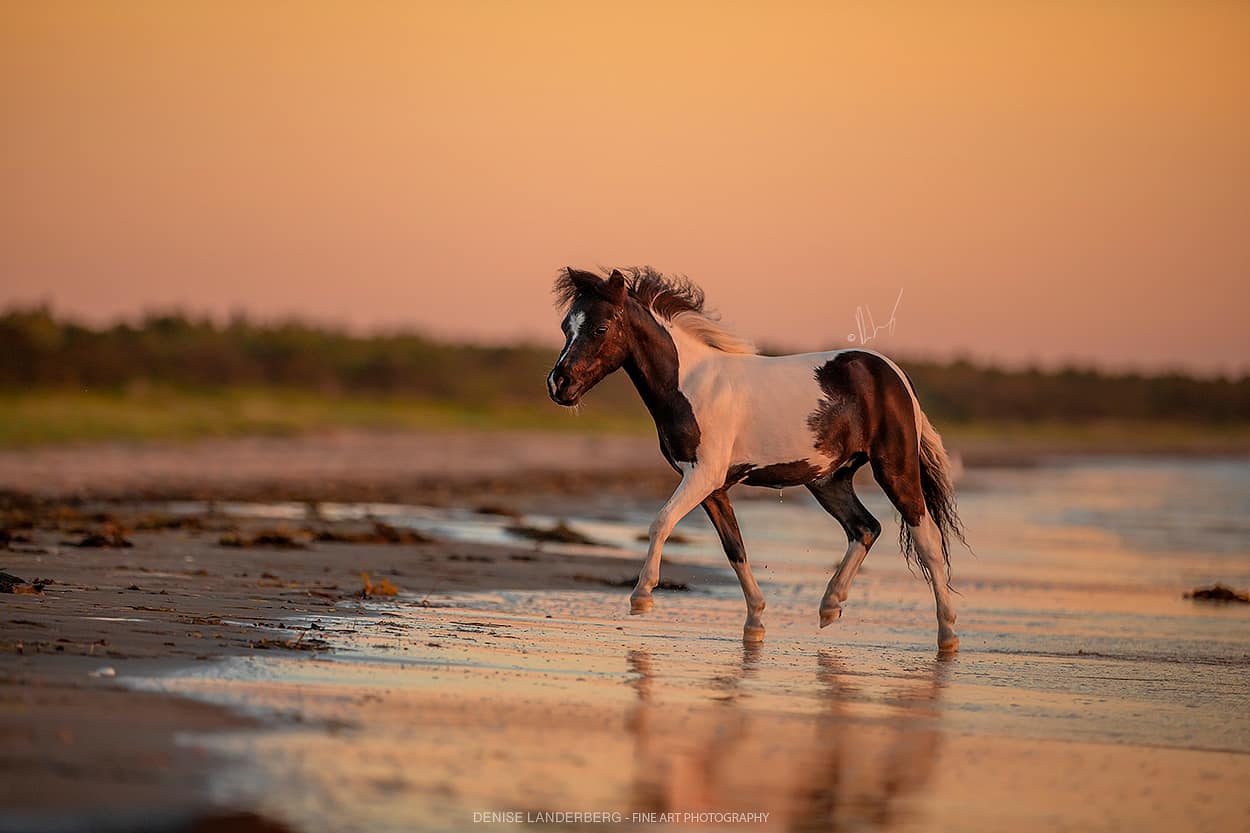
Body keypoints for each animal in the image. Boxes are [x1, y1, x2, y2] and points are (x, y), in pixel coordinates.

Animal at [546, 267, 966, 652]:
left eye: (600, 328)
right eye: (567, 326)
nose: (558, 384)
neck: (691, 385)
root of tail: (894, 375)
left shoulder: (702, 475)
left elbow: (661, 521)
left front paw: (642, 598)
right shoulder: (713, 486)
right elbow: (735, 549)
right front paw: (755, 623)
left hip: (894, 468)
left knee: (926, 541)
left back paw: (947, 636)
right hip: (828, 479)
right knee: (865, 528)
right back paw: (830, 606)